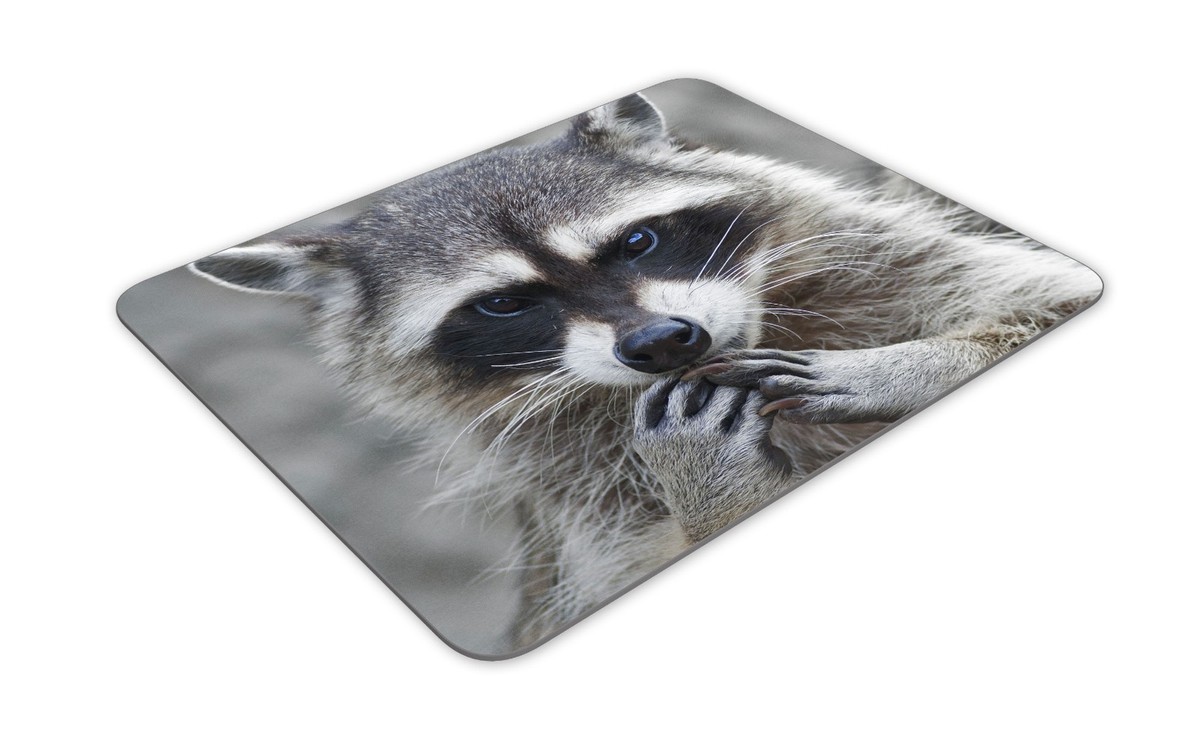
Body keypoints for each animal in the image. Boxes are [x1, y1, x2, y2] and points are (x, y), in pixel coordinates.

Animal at [191, 92, 1102, 649]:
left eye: (637, 241)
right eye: (503, 304)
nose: (663, 343)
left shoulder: (884, 264)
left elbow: (1043, 298)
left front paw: (908, 367)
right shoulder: (583, 501)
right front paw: (715, 491)